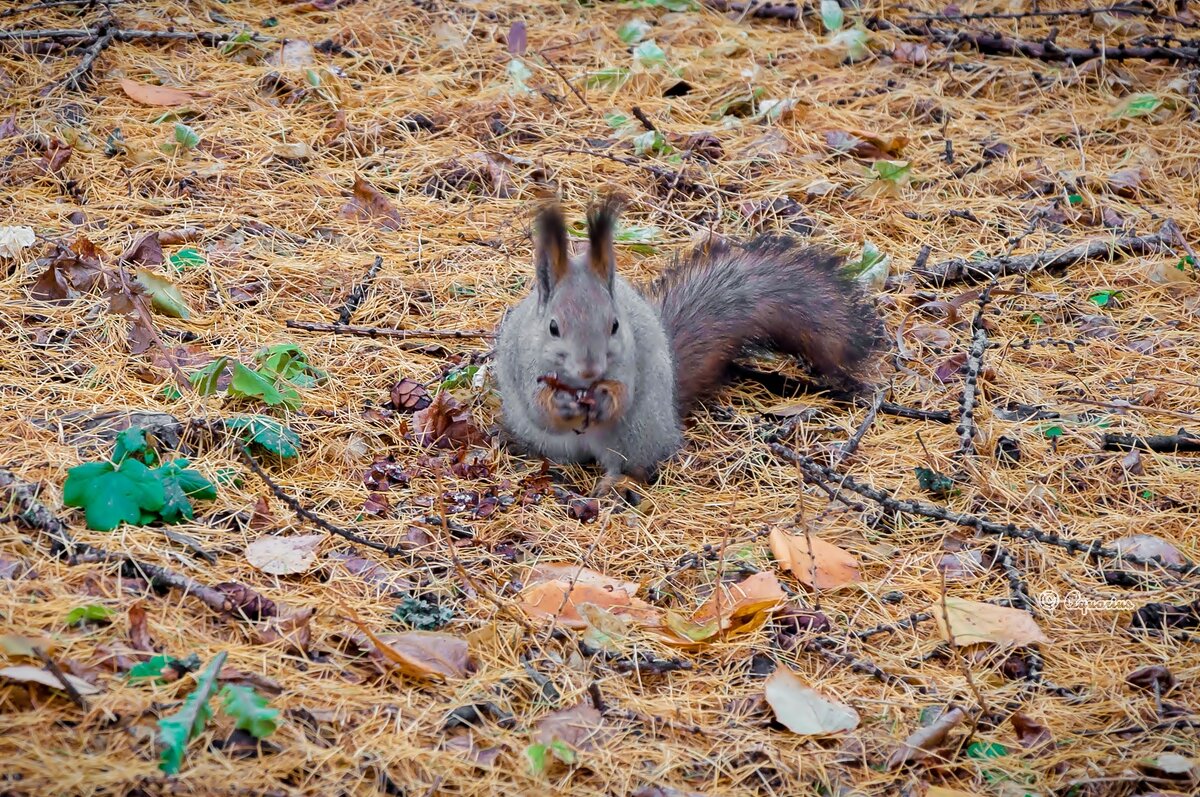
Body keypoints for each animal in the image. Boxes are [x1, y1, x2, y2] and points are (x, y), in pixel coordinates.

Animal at [492, 195, 888, 501]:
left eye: (615, 325)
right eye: (553, 327)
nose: (590, 371)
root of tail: (669, 416)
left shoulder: (629, 363)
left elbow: (623, 392)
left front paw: (605, 399)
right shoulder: (524, 364)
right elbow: (539, 406)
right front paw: (560, 403)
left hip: (637, 432)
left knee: (635, 464)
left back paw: (617, 482)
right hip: (549, 440)